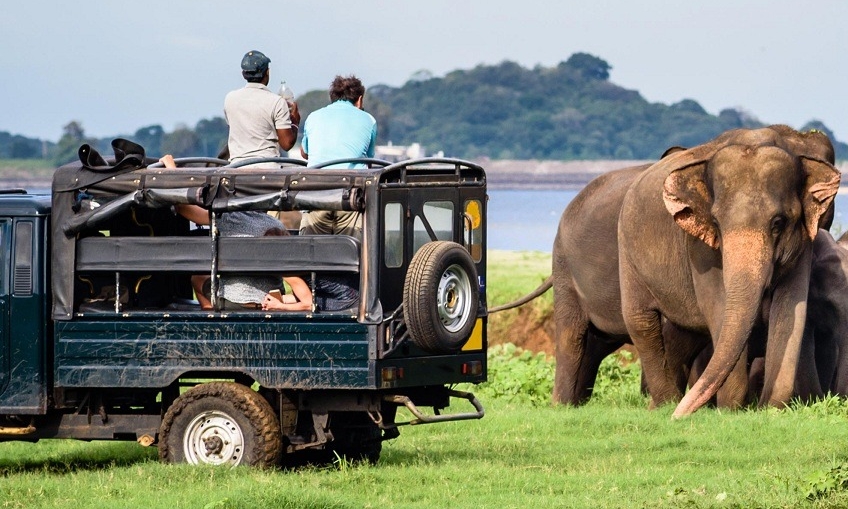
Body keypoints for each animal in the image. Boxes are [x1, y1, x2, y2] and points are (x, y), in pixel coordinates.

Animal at [624, 124, 840, 416]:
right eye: (716, 222)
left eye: (778, 223)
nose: (678, 417)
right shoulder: (699, 247)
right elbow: (717, 304)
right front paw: (730, 409)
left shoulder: (804, 240)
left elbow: (791, 307)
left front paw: (769, 408)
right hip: (627, 253)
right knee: (641, 321)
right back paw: (665, 405)